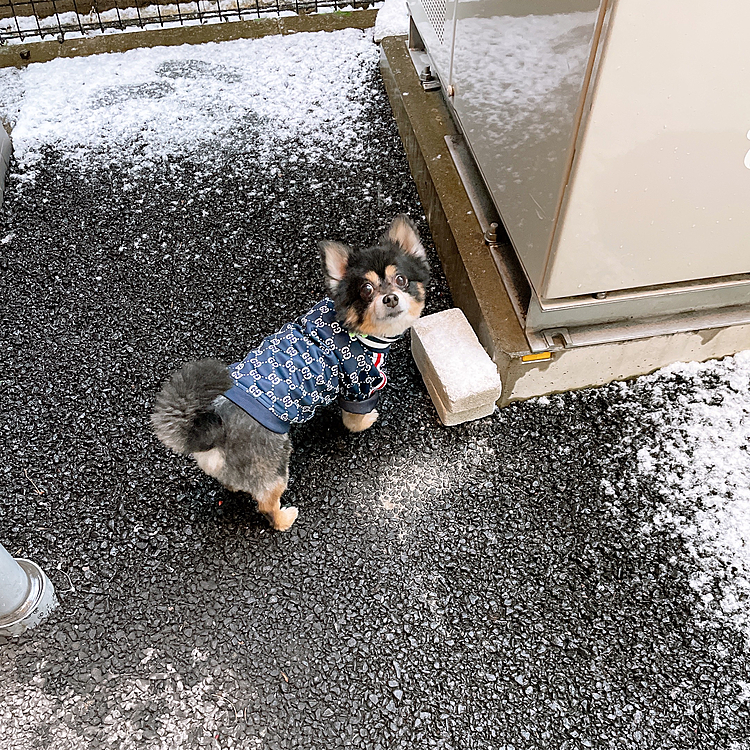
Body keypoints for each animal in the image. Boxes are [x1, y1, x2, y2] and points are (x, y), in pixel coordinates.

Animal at [151, 217, 428, 532]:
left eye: (401, 280)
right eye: (367, 290)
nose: (391, 298)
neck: (355, 328)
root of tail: (212, 429)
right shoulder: (359, 385)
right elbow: (354, 419)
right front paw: (367, 421)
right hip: (275, 466)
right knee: (266, 504)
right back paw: (284, 518)